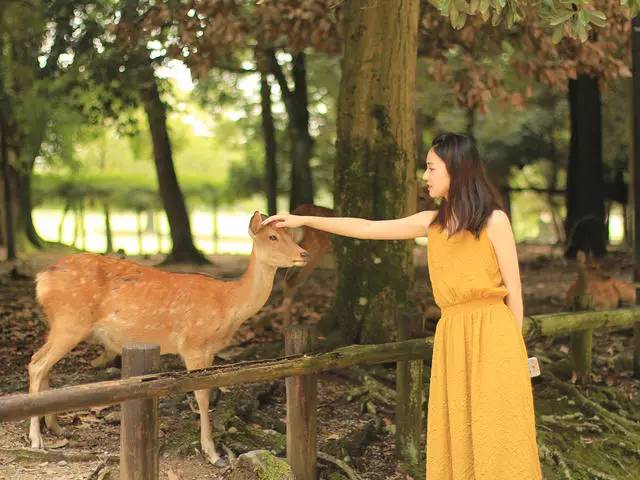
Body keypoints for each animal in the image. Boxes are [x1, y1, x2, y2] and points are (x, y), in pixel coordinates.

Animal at [28, 211, 308, 464]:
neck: (228, 304)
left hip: (60, 324)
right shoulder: (193, 344)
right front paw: (212, 453)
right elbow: (202, 395)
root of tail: (41, 279)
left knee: (42, 363)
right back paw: (36, 440)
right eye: (272, 237)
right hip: (69, 321)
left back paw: (56, 428)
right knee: (36, 364)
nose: (303, 253)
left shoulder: (209, 350)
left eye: (291, 235)